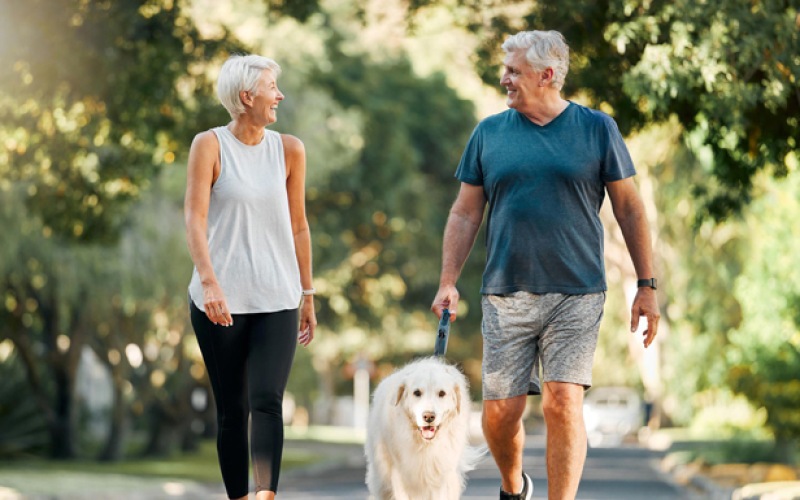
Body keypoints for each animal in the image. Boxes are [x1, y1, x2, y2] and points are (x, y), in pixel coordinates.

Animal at [366, 358, 484, 498]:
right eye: (417, 393)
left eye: (442, 393)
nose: (428, 416)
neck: (425, 445)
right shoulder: (401, 476)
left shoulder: (444, 477)